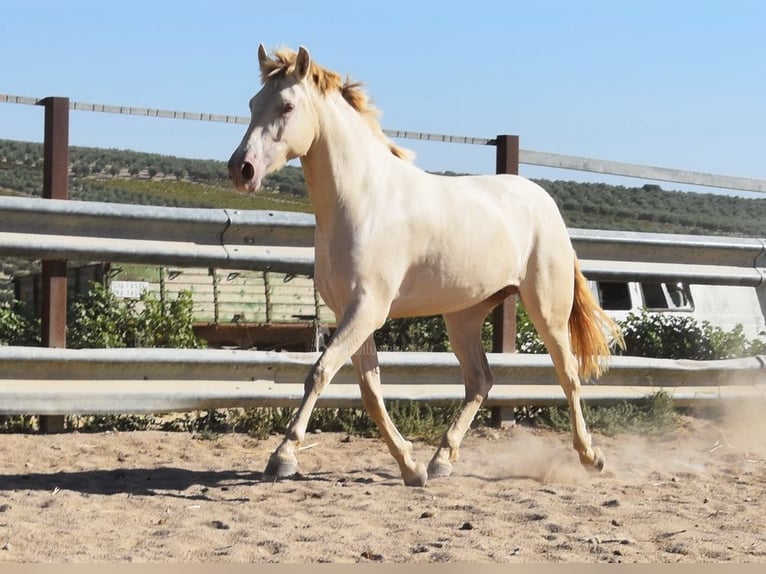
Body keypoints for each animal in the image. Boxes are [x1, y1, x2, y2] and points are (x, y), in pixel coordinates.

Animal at [228, 45, 624, 488]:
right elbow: (370, 390)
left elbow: (320, 372)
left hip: (547, 309)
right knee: (480, 380)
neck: (364, 201)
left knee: (568, 374)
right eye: (252, 104)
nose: (241, 169)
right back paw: (441, 460)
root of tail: (545, 201)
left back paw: (591, 457)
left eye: (287, 106)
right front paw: (411, 467)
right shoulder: (353, 314)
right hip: (464, 316)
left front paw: (282, 457)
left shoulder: (367, 310)